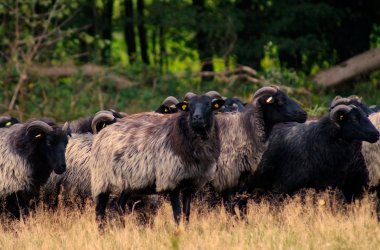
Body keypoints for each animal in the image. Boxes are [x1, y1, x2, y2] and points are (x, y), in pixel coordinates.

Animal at [89, 94, 226, 227]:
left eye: (209, 105)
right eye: (189, 106)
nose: (197, 118)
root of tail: (102, 133)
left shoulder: (189, 185)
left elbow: (187, 215)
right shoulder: (171, 182)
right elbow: (177, 214)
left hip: (126, 183)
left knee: (119, 207)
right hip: (102, 181)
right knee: (100, 213)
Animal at [205, 86, 306, 215]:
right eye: (280, 101)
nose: (304, 114)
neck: (246, 127)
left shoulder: (241, 179)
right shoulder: (227, 177)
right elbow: (227, 204)